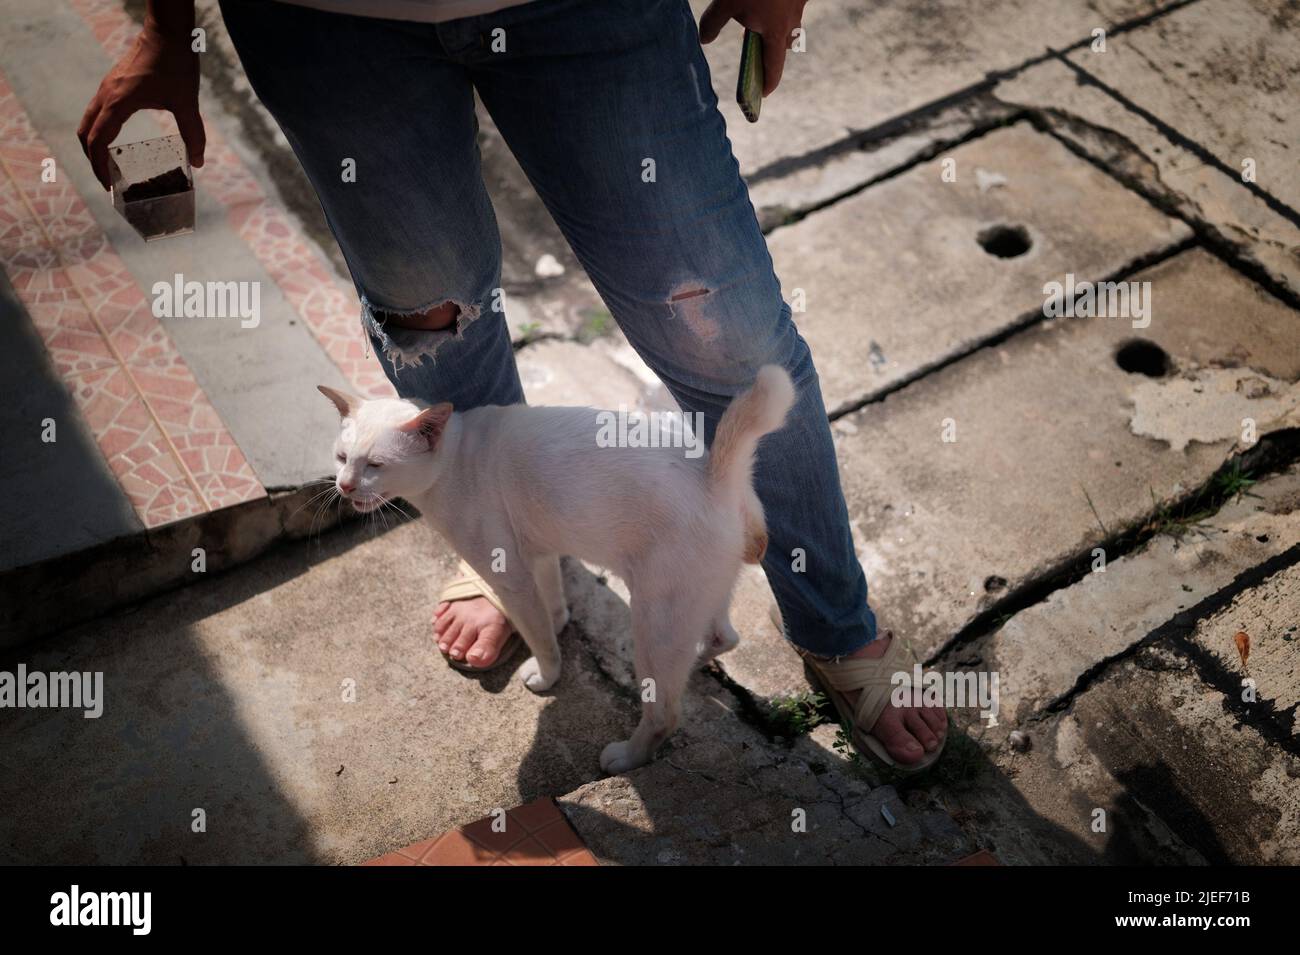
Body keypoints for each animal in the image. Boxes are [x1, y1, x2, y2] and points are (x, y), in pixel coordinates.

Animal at [319, 366, 795, 779]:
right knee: (723, 638)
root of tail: (715, 476)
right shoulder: (539, 552)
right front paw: (560, 620)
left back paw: (629, 756)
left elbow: (539, 636)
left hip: (657, 618)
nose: (344, 485)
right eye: (341, 458)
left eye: (375, 465)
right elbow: (550, 603)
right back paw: (694, 663)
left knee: (665, 712)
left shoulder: (509, 577)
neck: (455, 458)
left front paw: (547, 674)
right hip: (700, 601)